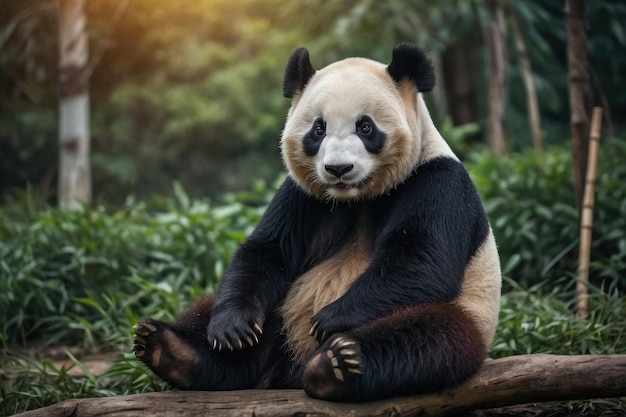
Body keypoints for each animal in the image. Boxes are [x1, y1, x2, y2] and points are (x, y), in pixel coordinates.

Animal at [133, 44, 502, 402]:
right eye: (318, 128)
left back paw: (336, 364)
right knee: (218, 317)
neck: (358, 197)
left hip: (467, 315)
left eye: (365, 127)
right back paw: (170, 348)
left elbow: (420, 262)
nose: (338, 169)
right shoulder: (303, 195)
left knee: (424, 338)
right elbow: (267, 252)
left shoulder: (438, 183)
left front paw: (328, 320)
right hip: (277, 314)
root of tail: (284, 372)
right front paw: (233, 329)